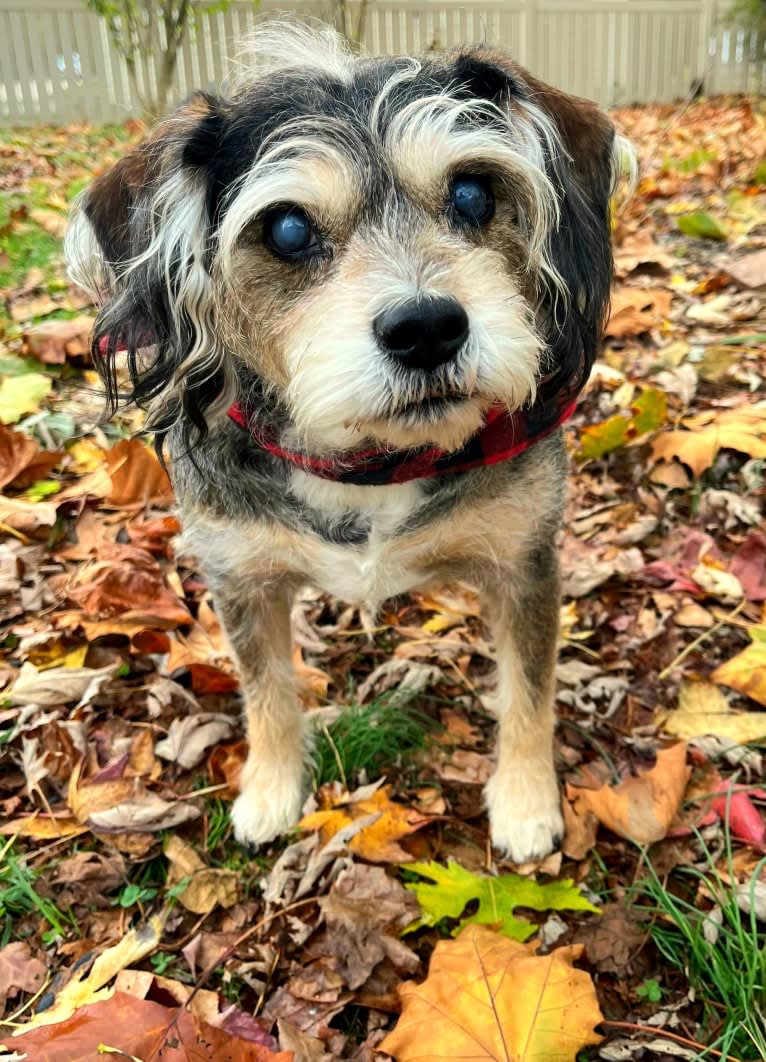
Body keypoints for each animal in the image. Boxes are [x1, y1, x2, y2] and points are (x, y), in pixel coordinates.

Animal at [67, 24, 620, 866]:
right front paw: (270, 791)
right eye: (288, 229)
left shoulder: (523, 565)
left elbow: (529, 691)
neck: (371, 464)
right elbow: (266, 693)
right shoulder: (240, 580)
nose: (427, 328)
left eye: (472, 193)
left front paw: (527, 802)